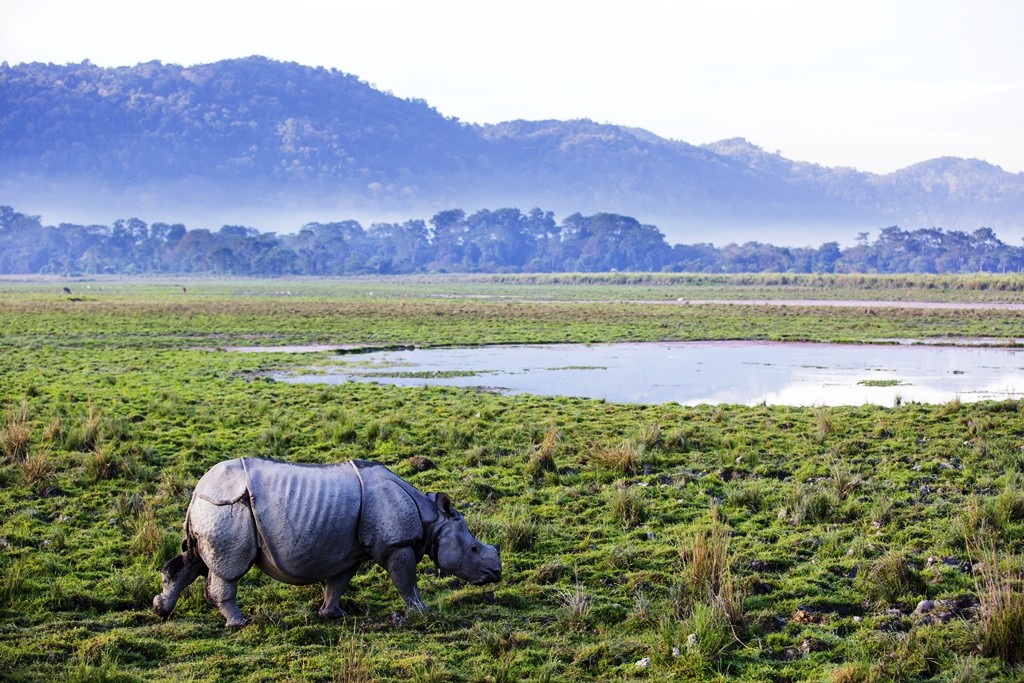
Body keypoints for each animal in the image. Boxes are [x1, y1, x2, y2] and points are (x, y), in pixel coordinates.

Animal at [153, 456, 501, 626]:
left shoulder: (351, 553)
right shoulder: (396, 545)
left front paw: (332, 615)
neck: (432, 519)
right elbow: (406, 582)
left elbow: (338, 583)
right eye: (473, 549)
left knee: (193, 560)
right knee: (228, 569)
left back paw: (161, 610)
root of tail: (198, 489)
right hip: (229, 507)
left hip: (213, 508)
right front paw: (422, 612)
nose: (496, 574)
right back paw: (239, 623)